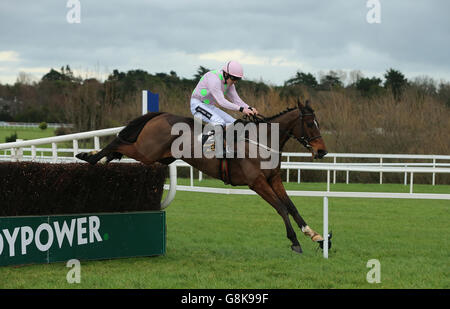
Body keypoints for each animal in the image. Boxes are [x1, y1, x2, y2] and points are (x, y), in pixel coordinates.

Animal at [76, 98, 330, 253]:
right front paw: (295, 241)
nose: (322, 151)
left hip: (161, 157)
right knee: (118, 143)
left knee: (118, 151)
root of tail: (160, 115)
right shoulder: (256, 182)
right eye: (310, 123)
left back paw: (95, 157)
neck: (262, 142)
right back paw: (88, 156)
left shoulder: (273, 179)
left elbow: (292, 206)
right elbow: (281, 208)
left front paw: (315, 235)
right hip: (147, 152)